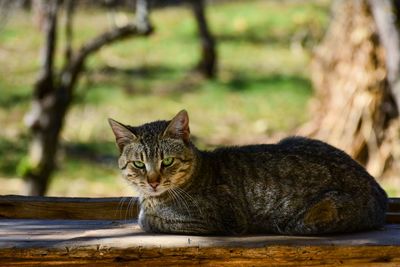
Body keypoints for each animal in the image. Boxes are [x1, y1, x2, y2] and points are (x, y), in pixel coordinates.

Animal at [108, 110, 388, 236]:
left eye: (166, 161)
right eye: (139, 165)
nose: (153, 182)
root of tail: (380, 192)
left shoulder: (210, 222)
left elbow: (149, 219)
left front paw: (146, 215)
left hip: (306, 219)